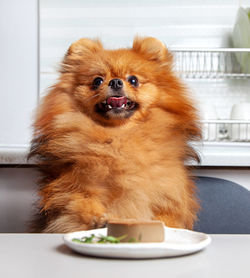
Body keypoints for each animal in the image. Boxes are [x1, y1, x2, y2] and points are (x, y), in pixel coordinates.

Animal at [28, 37, 201, 232]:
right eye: (97, 81)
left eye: (133, 80)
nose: (116, 82)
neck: (119, 137)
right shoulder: (69, 187)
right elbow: (78, 202)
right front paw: (98, 219)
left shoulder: (168, 195)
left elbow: (166, 218)